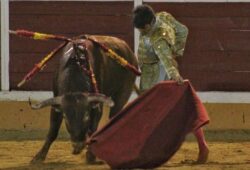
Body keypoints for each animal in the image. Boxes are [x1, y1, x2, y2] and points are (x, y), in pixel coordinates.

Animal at [30, 35, 139, 163]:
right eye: (66, 118)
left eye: (86, 115)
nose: (78, 146)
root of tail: (128, 50)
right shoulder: (56, 104)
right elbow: (53, 131)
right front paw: (39, 156)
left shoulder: (97, 105)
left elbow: (93, 129)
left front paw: (91, 156)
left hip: (123, 94)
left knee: (114, 116)